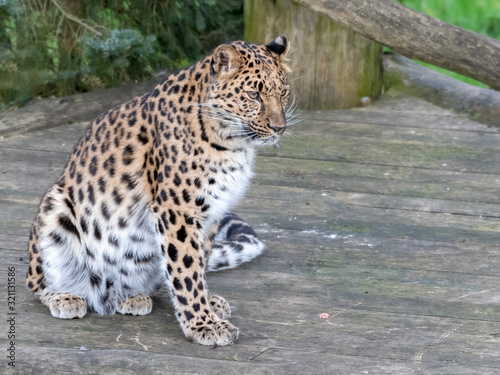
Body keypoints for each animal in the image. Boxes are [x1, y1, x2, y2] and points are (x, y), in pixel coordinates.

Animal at [26, 34, 292, 346]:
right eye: (253, 95)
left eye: (284, 92)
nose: (279, 128)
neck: (233, 143)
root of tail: (106, 293)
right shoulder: (178, 209)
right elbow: (186, 268)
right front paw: (203, 324)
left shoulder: (212, 211)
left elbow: (195, 263)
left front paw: (204, 309)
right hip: (55, 205)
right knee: (36, 283)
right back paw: (64, 297)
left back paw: (140, 297)